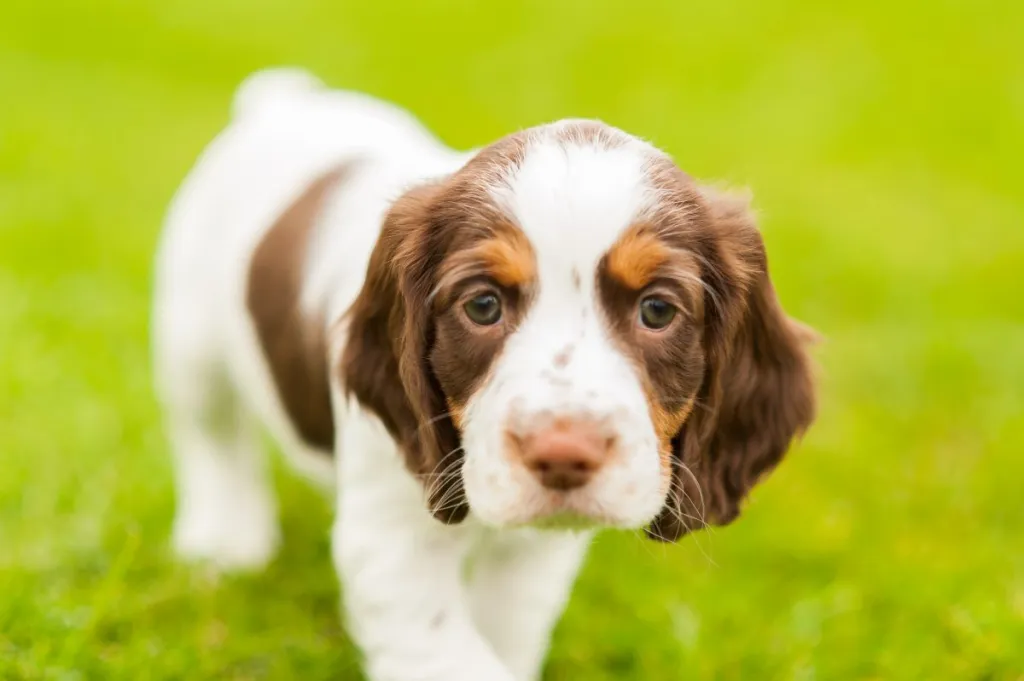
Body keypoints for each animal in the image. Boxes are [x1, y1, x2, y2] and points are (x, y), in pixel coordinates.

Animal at [153, 67, 815, 679]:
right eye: (482, 306)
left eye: (657, 310)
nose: (562, 453)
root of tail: (285, 102)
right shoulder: (391, 533)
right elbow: (444, 650)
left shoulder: (534, 550)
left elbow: (506, 625)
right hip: (191, 341)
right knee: (212, 435)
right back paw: (224, 541)